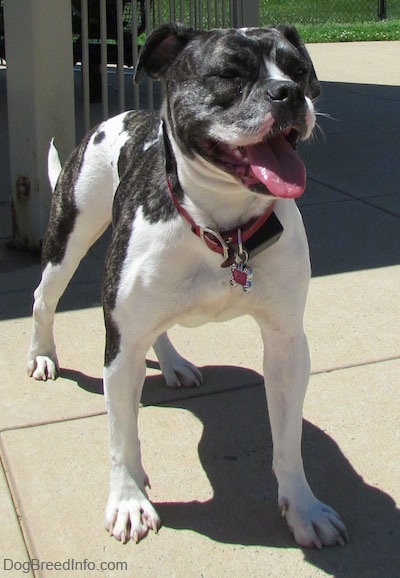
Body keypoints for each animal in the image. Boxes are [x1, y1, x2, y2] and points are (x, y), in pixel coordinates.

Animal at [27, 21, 350, 544]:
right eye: (229, 75)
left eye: (299, 70)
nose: (289, 93)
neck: (223, 226)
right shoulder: (121, 345)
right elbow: (121, 437)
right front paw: (129, 500)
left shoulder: (285, 344)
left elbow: (288, 440)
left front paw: (303, 508)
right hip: (68, 235)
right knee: (44, 297)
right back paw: (41, 354)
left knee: (157, 330)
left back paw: (173, 363)